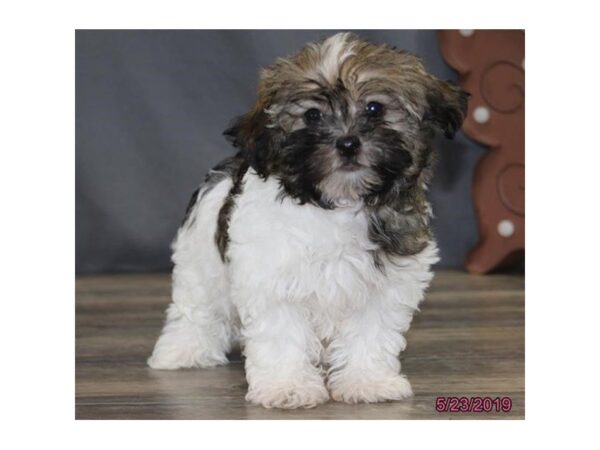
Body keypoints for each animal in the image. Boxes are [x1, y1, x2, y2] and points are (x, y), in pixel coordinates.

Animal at [148, 33, 466, 410]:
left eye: (374, 108)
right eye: (312, 115)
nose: (347, 143)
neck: (337, 203)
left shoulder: (385, 285)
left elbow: (370, 332)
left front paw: (367, 381)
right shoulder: (272, 278)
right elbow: (282, 334)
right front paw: (287, 386)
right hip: (200, 261)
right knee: (196, 307)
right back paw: (182, 351)